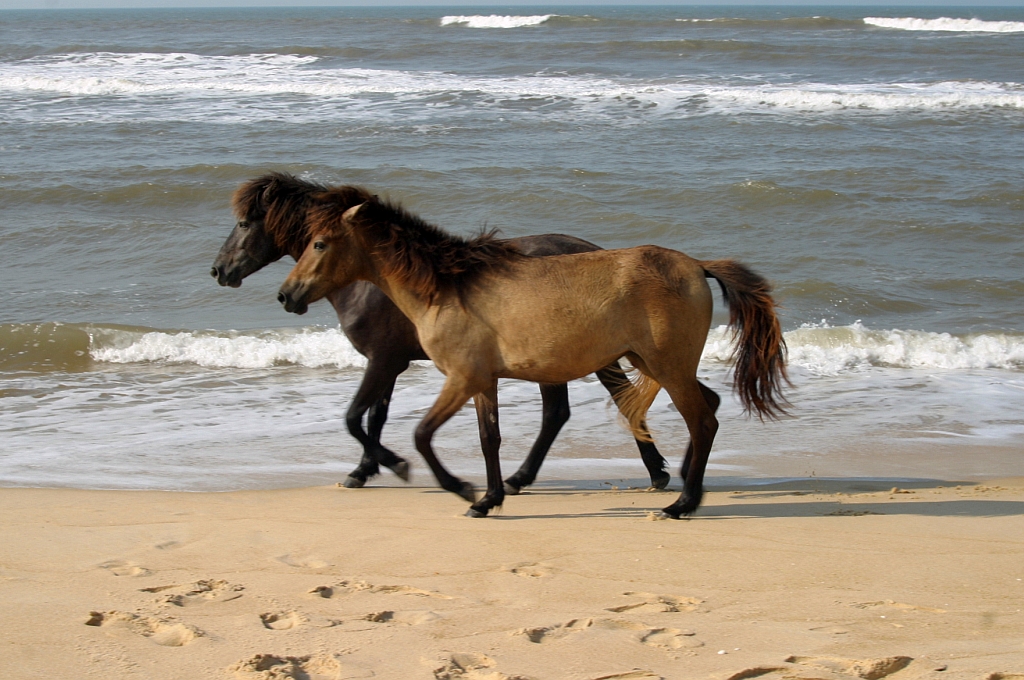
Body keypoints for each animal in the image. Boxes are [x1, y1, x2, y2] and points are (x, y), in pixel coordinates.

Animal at [209, 174, 671, 493]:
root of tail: (595, 251)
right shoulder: (391, 363)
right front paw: (368, 468)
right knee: (594, 405)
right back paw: (651, 472)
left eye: (245, 223)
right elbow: (375, 417)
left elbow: (355, 417)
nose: (219, 271)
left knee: (571, 410)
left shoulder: (382, 360)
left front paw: (390, 466)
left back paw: (522, 479)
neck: (370, 280)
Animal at [276, 193, 786, 518]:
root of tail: (697, 265)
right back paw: (680, 480)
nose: (286, 294)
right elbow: (489, 439)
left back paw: (681, 505)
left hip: (666, 366)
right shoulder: (484, 381)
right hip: (652, 362)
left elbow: (421, 434)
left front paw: (460, 489)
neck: (448, 288)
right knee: (708, 407)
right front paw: (488, 499)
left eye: (319, 243)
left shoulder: (460, 377)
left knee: (702, 419)